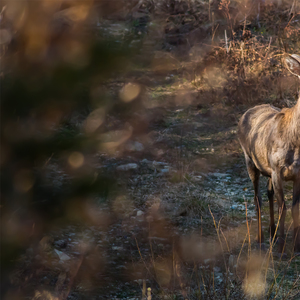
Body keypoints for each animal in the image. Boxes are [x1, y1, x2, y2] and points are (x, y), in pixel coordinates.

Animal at [238, 53, 298, 253]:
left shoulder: (297, 173)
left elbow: (295, 209)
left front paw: (296, 246)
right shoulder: (278, 169)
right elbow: (283, 208)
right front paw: (281, 247)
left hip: (268, 169)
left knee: (268, 193)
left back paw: (272, 233)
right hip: (250, 161)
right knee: (257, 199)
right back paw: (260, 238)